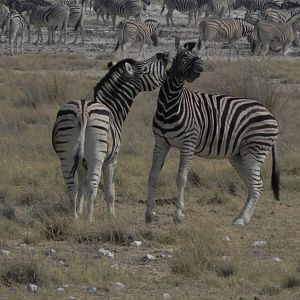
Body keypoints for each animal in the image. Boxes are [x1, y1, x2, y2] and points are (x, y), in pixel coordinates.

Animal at [51, 52, 169, 223]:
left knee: (71, 186)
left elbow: (81, 187)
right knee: (93, 187)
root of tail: (83, 109)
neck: (113, 109)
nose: (164, 55)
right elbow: (109, 190)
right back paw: (89, 220)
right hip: (97, 156)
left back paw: (74, 218)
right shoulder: (112, 159)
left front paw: (78, 211)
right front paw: (111, 216)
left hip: (66, 155)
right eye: (144, 66)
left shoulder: (81, 163)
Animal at [144, 38, 280, 225]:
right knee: (253, 185)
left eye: (196, 55)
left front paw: (178, 214)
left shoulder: (188, 143)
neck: (170, 104)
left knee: (257, 185)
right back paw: (240, 218)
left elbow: (181, 178)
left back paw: (242, 219)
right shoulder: (161, 142)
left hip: (254, 150)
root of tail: (270, 113)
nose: (201, 65)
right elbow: (152, 175)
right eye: (182, 56)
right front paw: (149, 214)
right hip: (239, 155)